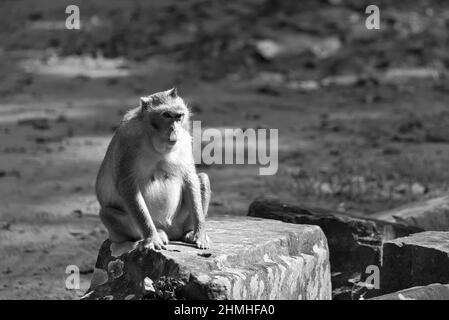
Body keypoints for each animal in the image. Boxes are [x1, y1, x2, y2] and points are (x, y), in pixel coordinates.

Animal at [95, 87, 210, 250]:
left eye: (179, 116)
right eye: (166, 115)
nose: (174, 130)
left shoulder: (185, 139)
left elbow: (190, 178)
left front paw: (200, 233)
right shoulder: (128, 138)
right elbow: (127, 186)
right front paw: (152, 237)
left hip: (179, 222)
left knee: (203, 178)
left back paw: (188, 232)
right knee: (107, 213)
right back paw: (157, 234)